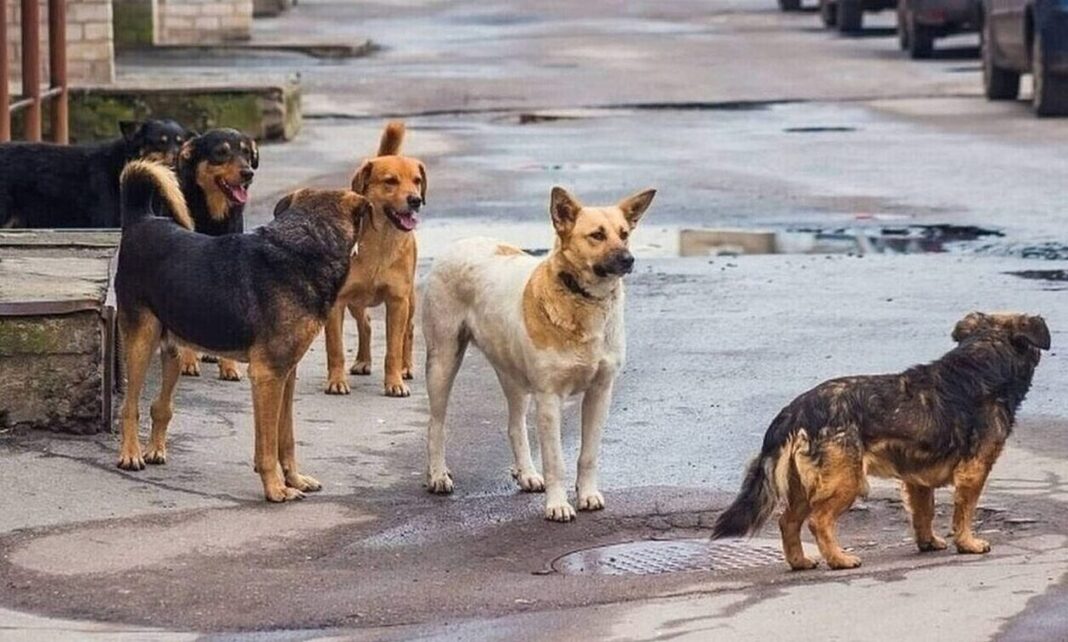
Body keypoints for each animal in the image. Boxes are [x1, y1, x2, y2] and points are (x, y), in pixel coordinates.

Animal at [113, 160, 371, 499]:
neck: (305, 244)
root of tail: (141, 220)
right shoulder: (267, 376)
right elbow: (267, 446)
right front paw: (275, 489)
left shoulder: (286, 375)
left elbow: (285, 438)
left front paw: (294, 479)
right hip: (141, 342)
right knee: (130, 406)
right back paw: (130, 454)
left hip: (174, 349)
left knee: (161, 405)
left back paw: (155, 449)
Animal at [322, 119, 427, 395]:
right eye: (390, 181)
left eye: (417, 180)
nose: (415, 200)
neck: (381, 242)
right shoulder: (337, 302)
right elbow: (335, 348)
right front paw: (336, 380)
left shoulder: (397, 301)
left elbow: (393, 349)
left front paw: (395, 382)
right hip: (356, 301)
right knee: (366, 323)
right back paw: (363, 361)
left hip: (410, 300)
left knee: (409, 330)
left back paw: (406, 367)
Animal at [420, 183, 653, 521]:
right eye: (596, 235)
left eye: (624, 234)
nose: (629, 259)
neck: (581, 299)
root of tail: (460, 243)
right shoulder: (549, 398)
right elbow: (556, 461)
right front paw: (557, 505)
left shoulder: (600, 392)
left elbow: (588, 455)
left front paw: (587, 494)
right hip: (443, 362)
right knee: (436, 424)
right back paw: (438, 475)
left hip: (513, 376)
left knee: (515, 425)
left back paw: (527, 473)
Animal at [713, 311, 1046, 568]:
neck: (982, 361)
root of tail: (795, 410)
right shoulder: (973, 471)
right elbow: (964, 513)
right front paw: (968, 544)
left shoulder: (916, 480)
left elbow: (923, 514)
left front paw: (928, 542)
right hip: (846, 481)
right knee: (818, 521)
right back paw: (839, 559)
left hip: (803, 486)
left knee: (788, 522)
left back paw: (800, 562)